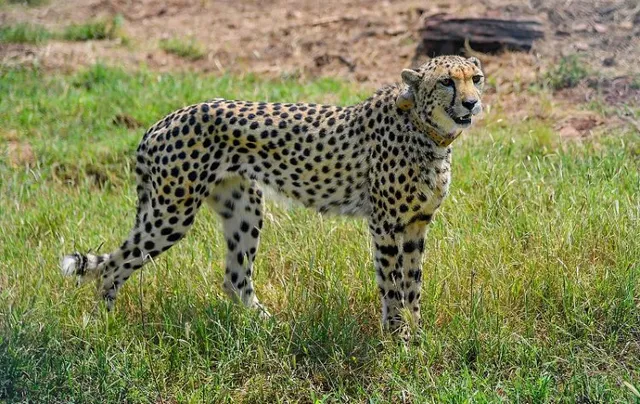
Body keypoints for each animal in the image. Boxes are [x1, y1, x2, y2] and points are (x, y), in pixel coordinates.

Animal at [61, 56, 484, 334]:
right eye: (447, 82)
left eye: (476, 78)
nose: (472, 102)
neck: (427, 131)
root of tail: (163, 121)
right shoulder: (385, 225)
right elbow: (392, 286)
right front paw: (399, 339)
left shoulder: (416, 225)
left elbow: (413, 285)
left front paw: (419, 337)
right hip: (171, 213)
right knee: (114, 266)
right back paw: (104, 325)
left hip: (244, 207)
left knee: (235, 278)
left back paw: (269, 327)